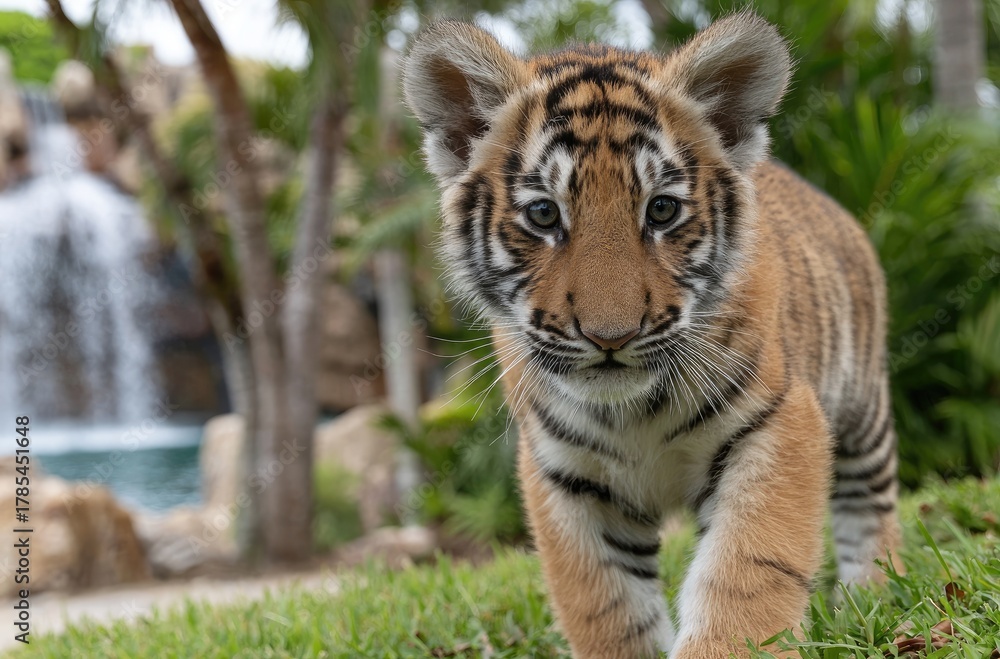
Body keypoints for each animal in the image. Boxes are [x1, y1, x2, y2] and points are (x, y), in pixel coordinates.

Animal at [403, 12, 902, 659]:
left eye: (662, 211)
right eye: (543, 215)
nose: (610, 336)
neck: (633, 414)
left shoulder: (776, 422)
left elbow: (745, 573)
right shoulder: (565, 474)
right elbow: (607, 605)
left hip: (864, 411)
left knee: (872, 506)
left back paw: (873, 599)